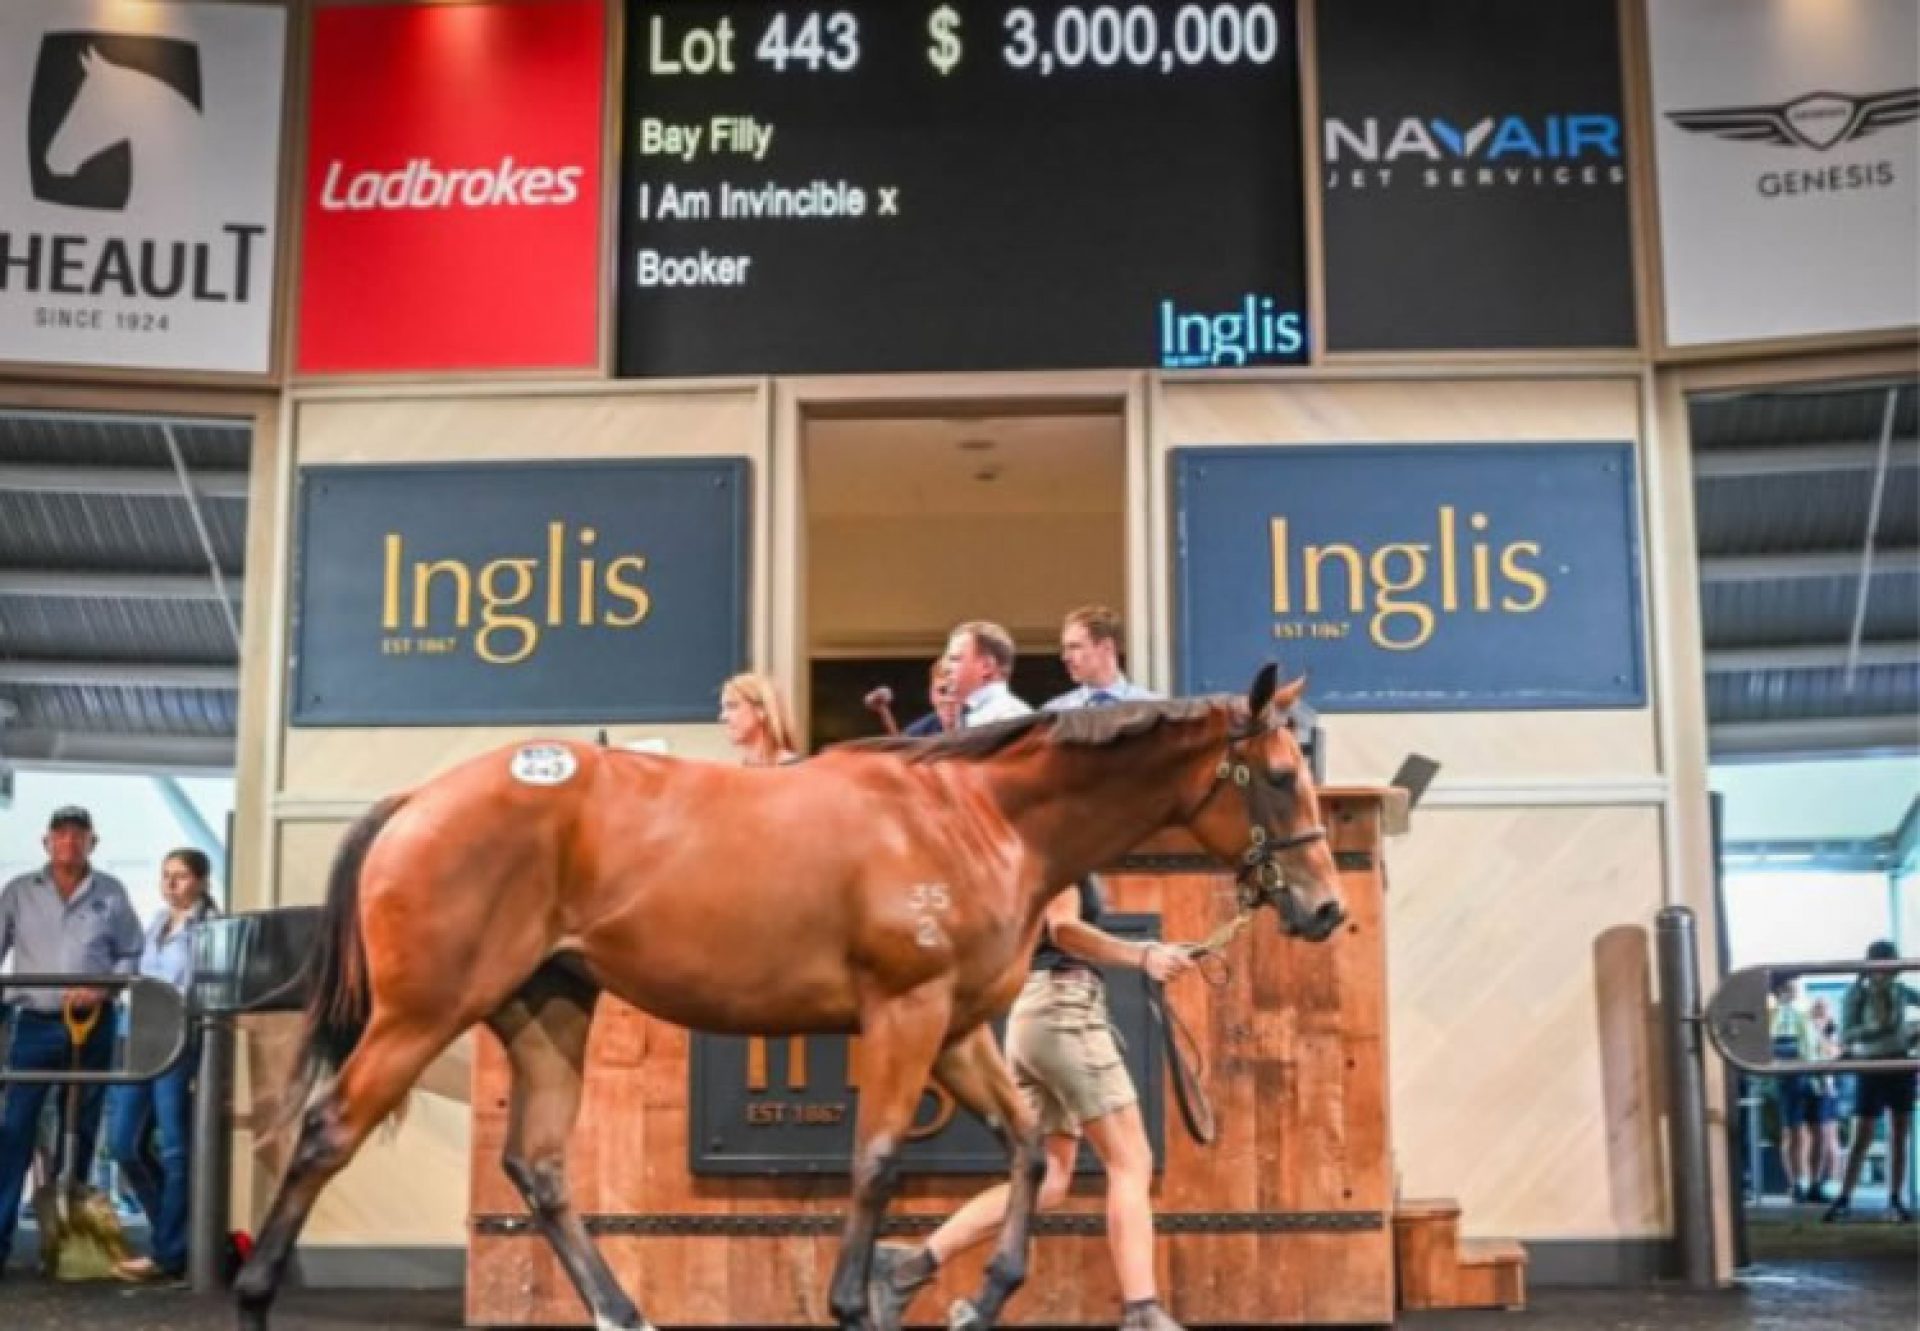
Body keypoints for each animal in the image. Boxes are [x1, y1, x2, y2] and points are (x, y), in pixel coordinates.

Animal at [232, 668, 1344, 1321]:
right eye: (1278, 774)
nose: (1326, 907)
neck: (977, 814)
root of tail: (419, 798)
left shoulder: (956, 1029)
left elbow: (1028, 1145)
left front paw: (982, 1293)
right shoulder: (904, 1013)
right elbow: (880, 1156)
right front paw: (855, 1299)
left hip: (547, 1008)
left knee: (539, 1167)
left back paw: (622, 1310)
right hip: (422, 1013)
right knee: (326, 1131)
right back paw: (251, 1291)